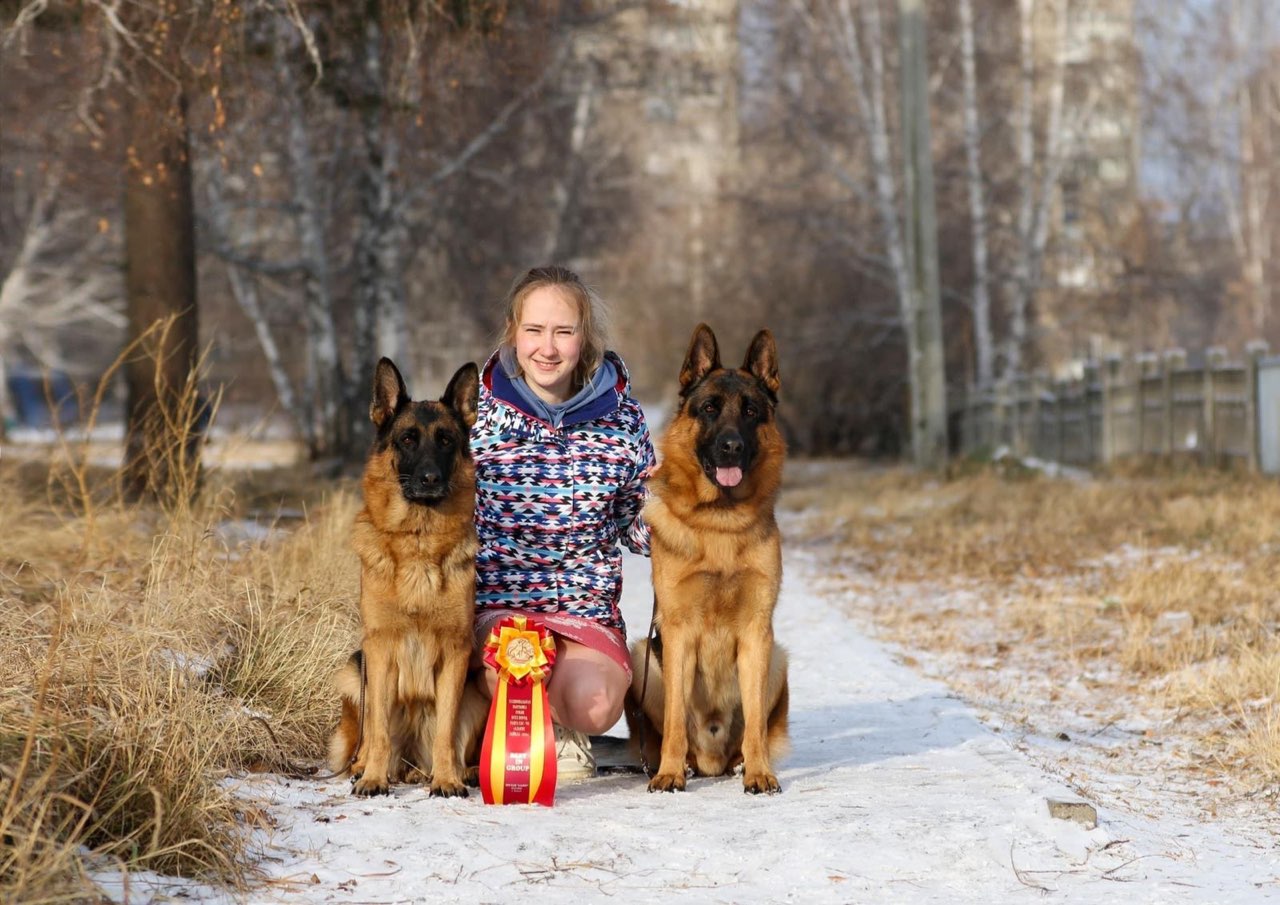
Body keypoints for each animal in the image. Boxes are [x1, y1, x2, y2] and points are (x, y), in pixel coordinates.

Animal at [325, 358, 488, 798]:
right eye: (408, 440)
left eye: (446, 440)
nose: (430, 479)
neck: (419, 543)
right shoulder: (379, 649)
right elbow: (379, 729)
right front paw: (374, 778)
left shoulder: (455, 652)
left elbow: (447, 730)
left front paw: (447, 780)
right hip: (355, 672)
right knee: (368, 739)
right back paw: (366, 768)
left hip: (476, 692)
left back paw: (449, 772)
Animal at [622, 323, 783, 793]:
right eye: (710, 408)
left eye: (751, 411)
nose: (731, 447)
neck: (720, 524)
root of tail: (713, 759)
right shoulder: (678, 634)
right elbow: (676, 721)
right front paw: (670, 773)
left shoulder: (757, 633)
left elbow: (756, 725)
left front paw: (760, 772)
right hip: (643, 657)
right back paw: (684, 765)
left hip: (778, 657)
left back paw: (740, 765)